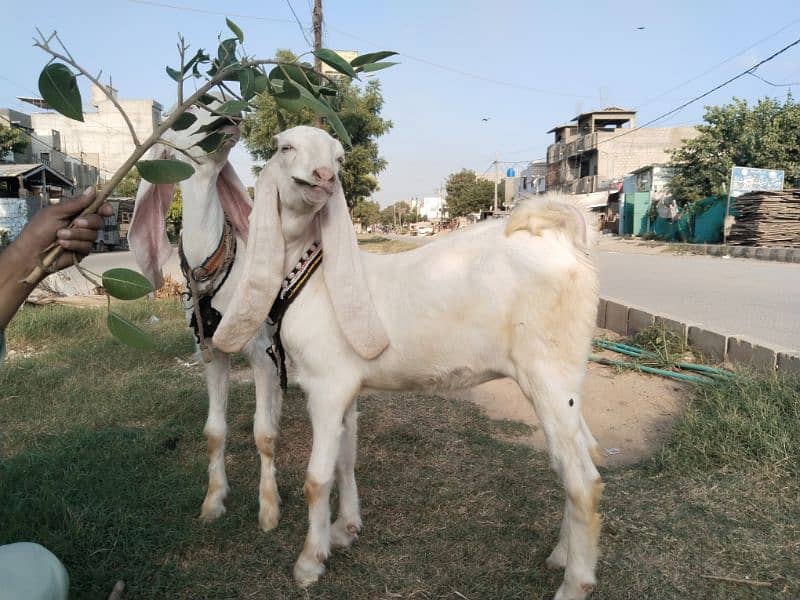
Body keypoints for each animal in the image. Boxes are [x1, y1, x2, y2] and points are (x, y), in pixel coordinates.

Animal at [127, 105, 284, 532]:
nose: (229, 118)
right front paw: (214, 501)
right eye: (185, 115)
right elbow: (214, 430)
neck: (210, 272)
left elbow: (264, 433)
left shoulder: (258, 350)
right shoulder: (211, 350)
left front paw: (269, 508)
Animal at [211, 124, 600, 596]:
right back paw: (562, 554)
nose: (324, 177)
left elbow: (317, 478)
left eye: (339, 158)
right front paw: (345, 530)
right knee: (577, 456)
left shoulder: (325, 386)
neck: (311, 276)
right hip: (565, 380)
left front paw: (309, 561)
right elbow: (345, 458)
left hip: (546, 375)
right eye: (285, 147)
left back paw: (575, 583)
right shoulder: (345, 388)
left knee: (583, 479)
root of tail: (567, 243)